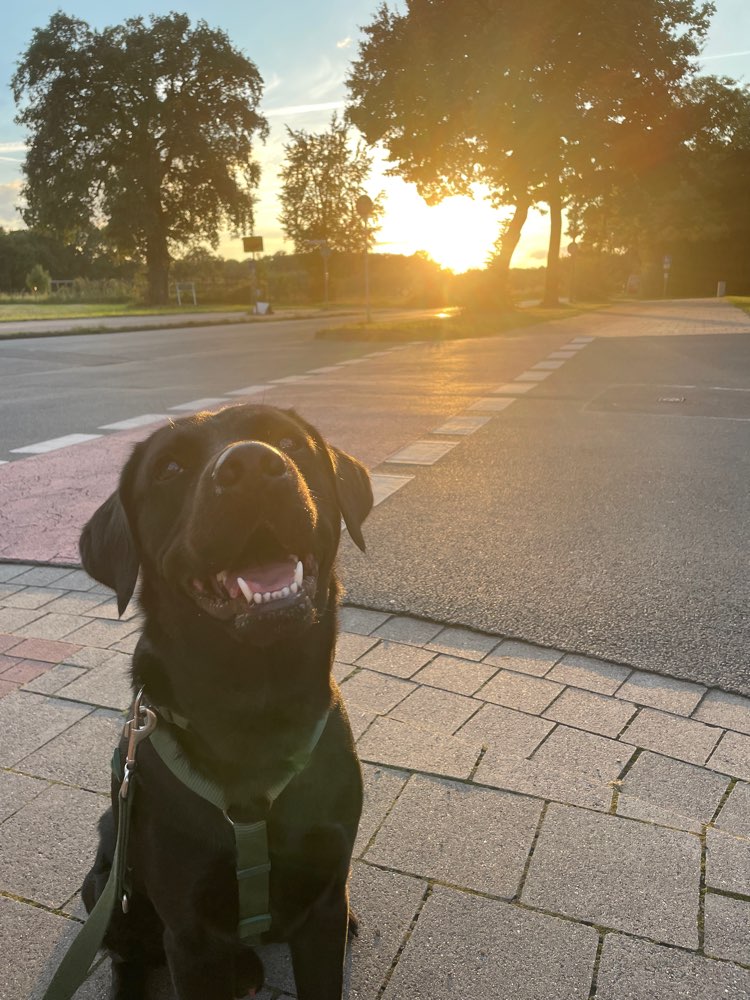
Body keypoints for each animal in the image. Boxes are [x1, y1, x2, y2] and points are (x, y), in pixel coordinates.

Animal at [79, 402, 374, 996]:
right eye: (169, 469)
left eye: (289, 441)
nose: (254, 466)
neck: (254, 706)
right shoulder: (190, 937)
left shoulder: (323, 905)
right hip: (107, 884)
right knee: (124, 954)